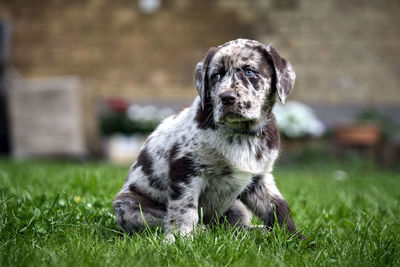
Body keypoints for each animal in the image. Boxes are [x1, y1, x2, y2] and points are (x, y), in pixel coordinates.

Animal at [111, 38, 300, 241]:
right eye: (216, 75)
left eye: (249, 71)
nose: (226, 98)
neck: (240, 133)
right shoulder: (186, 169)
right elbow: (185, 210)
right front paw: (179, 239)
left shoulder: (259, 178)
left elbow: (278, 208)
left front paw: (297, 238)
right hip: (129, 207)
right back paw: (203, 231)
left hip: (237, 207)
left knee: (231, 227)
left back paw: (256, 231)